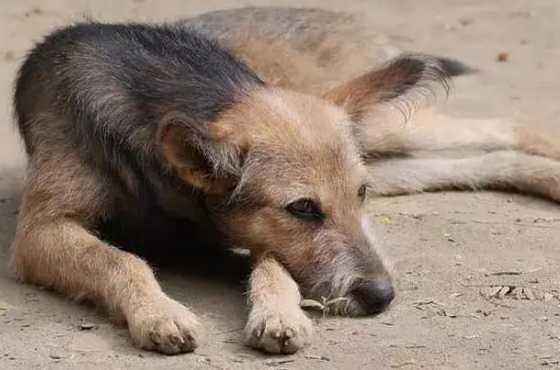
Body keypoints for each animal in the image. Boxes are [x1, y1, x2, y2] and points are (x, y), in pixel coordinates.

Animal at [9, 7, 560, 356]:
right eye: (303, 209)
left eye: (358, 195)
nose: (383, 297)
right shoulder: (40, 233)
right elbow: (121, 260)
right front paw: (159, 313)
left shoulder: (238, 234)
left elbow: (275, 266)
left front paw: (278, 314)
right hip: (389, 153)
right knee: (484, 158)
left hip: (388, 133)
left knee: (506, 126)